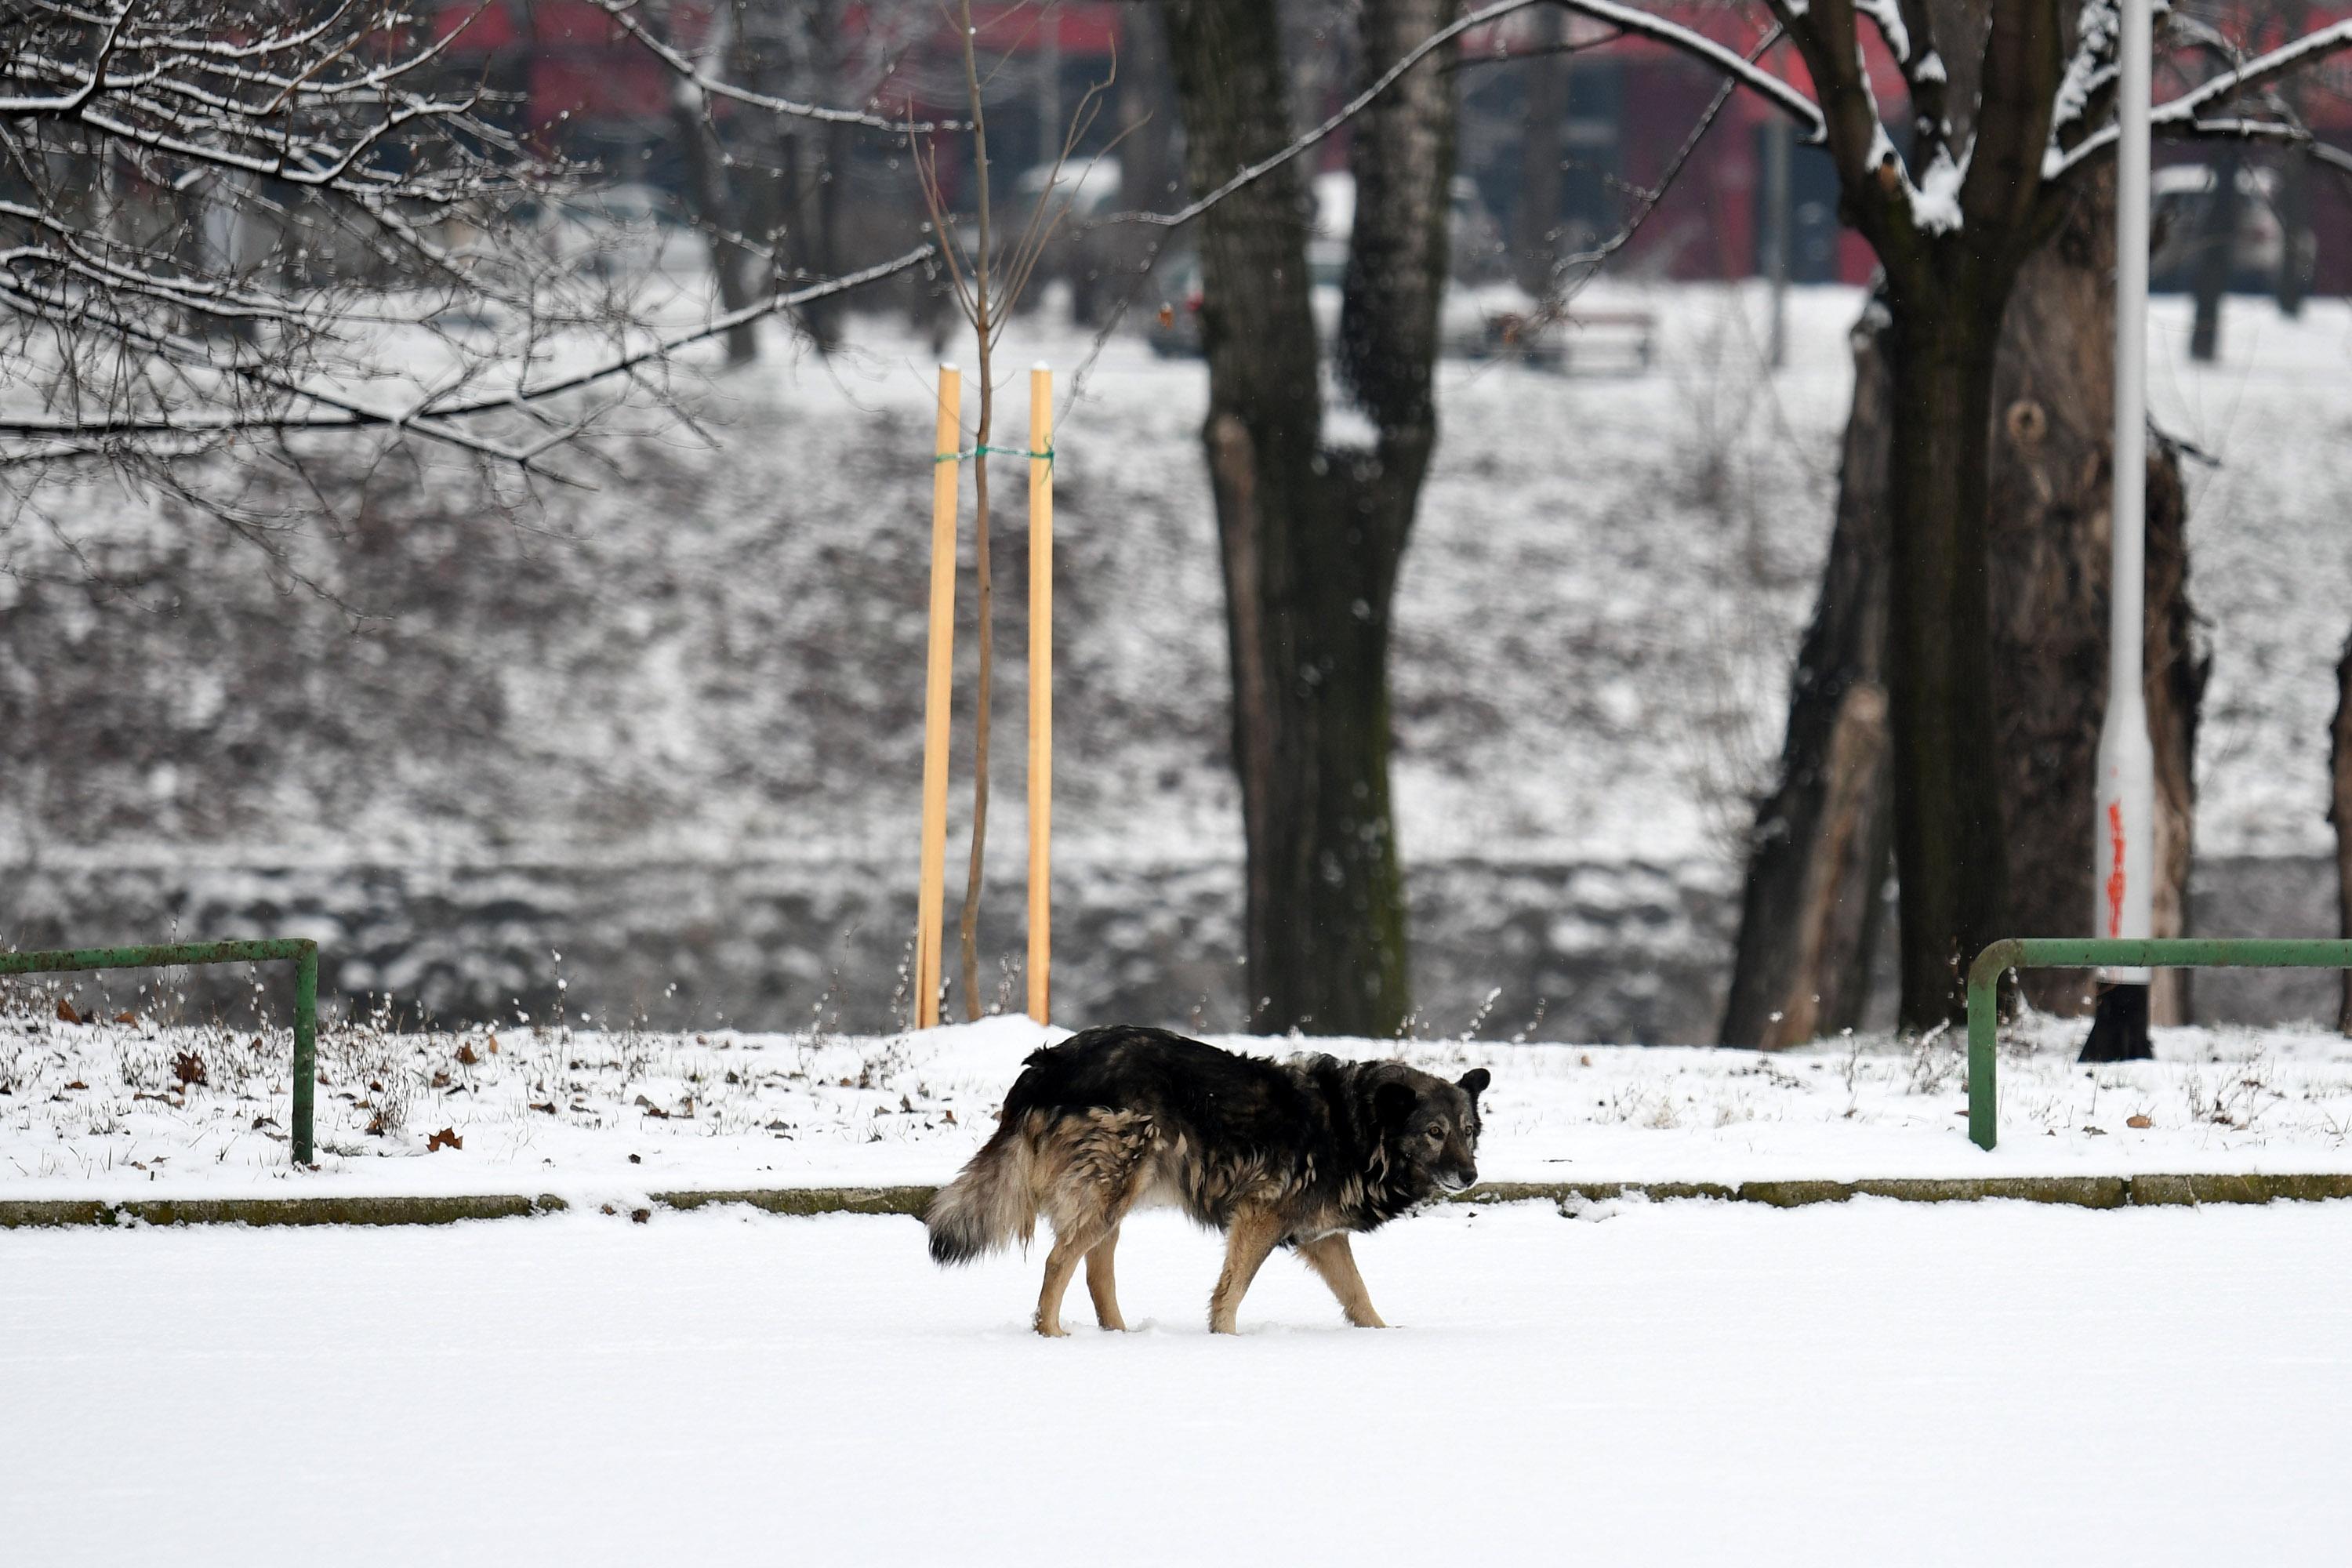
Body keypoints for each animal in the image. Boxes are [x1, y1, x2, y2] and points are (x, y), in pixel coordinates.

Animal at [922, 1029, 1486, 1335]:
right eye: (1434, 1132)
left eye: (1468, 1131)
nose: (1470, 1175)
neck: (1358, 1125)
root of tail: (1046, 1065)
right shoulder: (1260, 1218)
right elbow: (1232, 1291)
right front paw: (1226, 1340)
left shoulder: (1321, 1238)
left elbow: (1358, 1294)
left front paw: (1382, 1336)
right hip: (1111, 1189)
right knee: (1059, 1262)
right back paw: (1052, 1333)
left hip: (1115, 1200)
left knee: (1096, 1275)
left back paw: (1119, 1336)